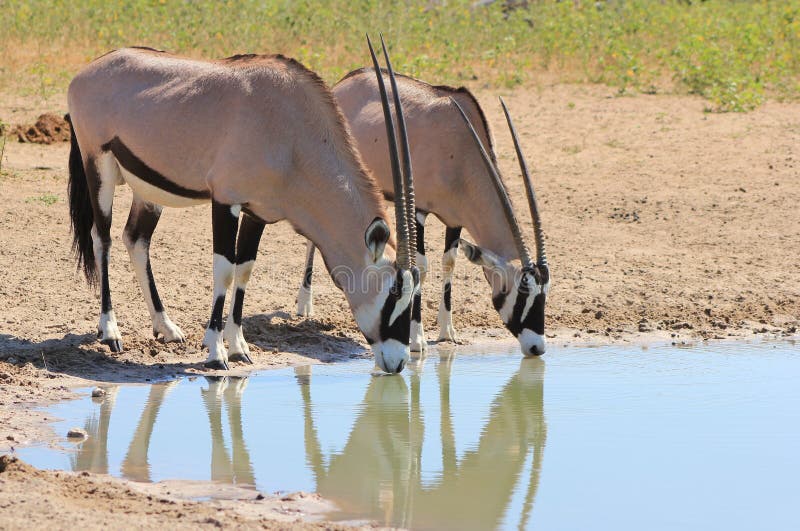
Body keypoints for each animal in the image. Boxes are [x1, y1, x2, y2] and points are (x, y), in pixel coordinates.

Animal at [65, 37, 422, 374]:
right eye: (393, 293)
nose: (399, 362)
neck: (292, 132)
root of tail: (86, 72)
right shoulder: (225, 200)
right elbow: (224, 269)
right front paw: (215, 352)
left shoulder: (257, 211)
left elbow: (245, 268)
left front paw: (238, 347)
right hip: (99, 166)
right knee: (103, 239)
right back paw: (110, 331)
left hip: (148, 189)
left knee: (136, 239)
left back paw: (166, 327)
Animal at [296, 69, 552, 354]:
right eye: (523, 292)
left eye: (545, 294)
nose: (537, 348)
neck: (460, 149)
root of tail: (346, 81)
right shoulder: (419, 209)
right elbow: (421, 266)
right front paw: (416, 339)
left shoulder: (455, 218)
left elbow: (449, 262)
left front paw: (447, 332)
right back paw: (304, 303)